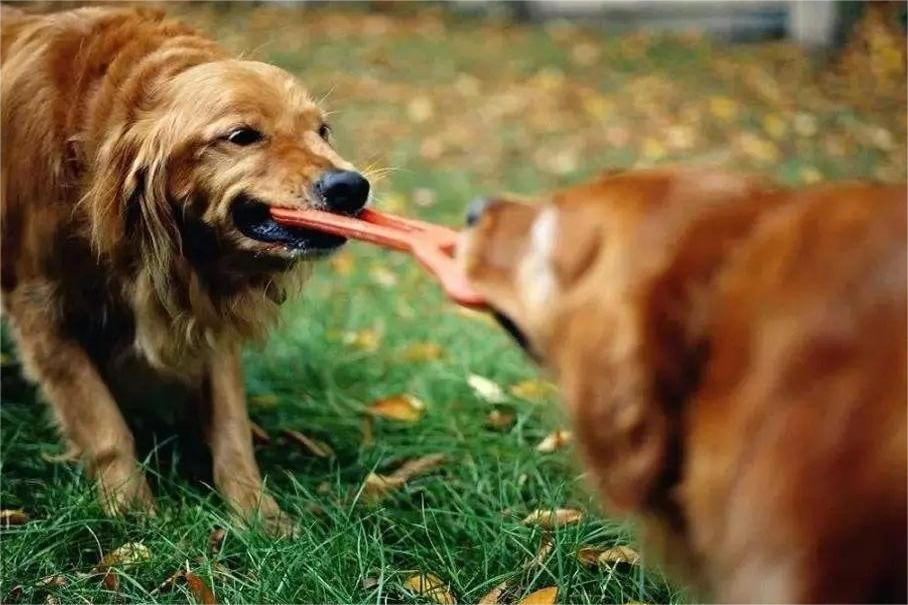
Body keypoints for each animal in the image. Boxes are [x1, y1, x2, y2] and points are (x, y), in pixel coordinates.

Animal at [0, 5, 368, 532]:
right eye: (242, 136)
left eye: (321, 131)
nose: (351, 187)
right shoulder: (36, 307)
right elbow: (105, 424)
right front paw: (132, 515)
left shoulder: (207, 303)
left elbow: (232, 425)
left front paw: (257, 514)